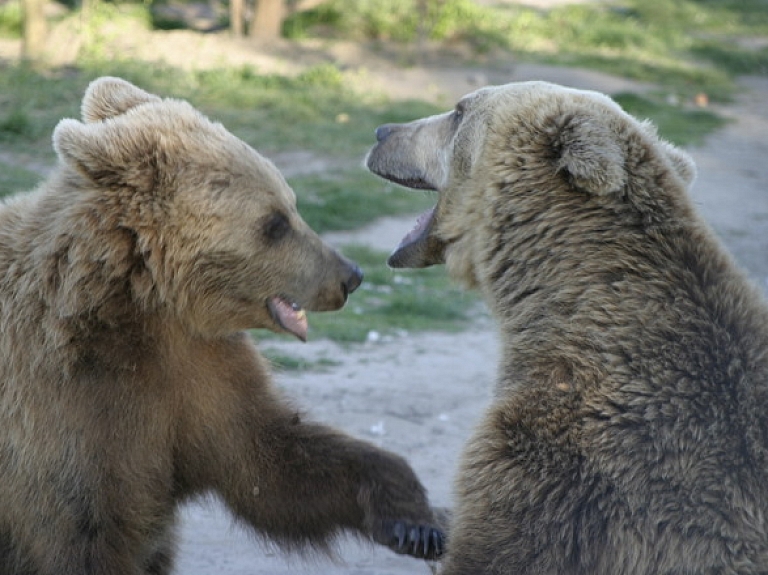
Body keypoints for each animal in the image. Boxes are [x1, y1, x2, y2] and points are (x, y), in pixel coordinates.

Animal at [0, 77, 444, 575]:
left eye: (291, 205)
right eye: (275, 223)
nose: (350, 275)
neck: (142, 305)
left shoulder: (199, 370)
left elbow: (271, 463)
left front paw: (416, 519)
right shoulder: (66, 409)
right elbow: (85, 530)